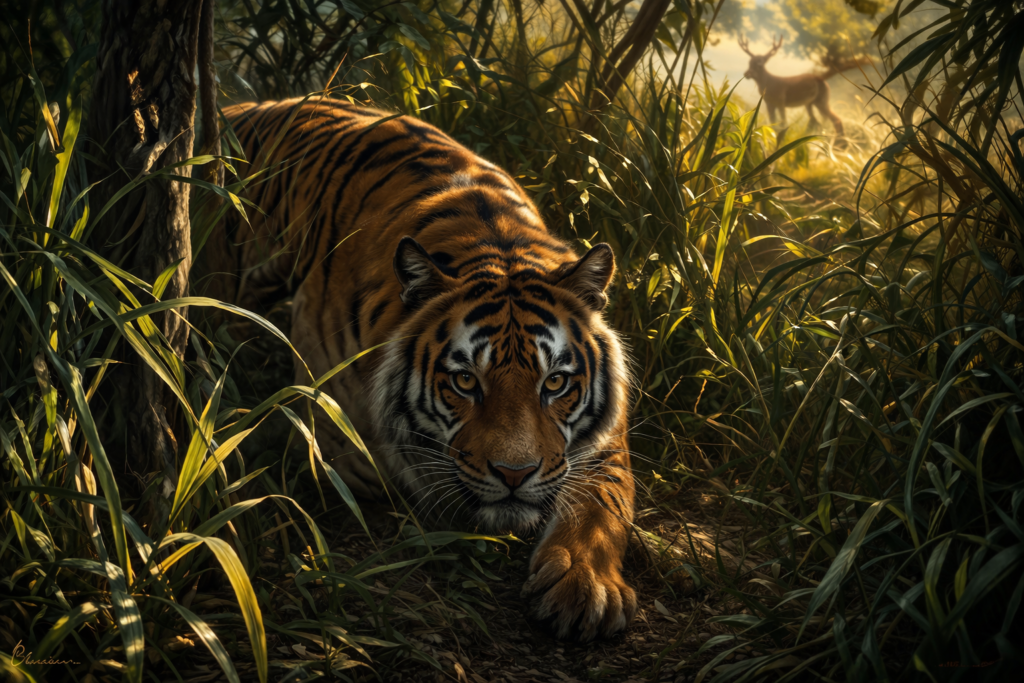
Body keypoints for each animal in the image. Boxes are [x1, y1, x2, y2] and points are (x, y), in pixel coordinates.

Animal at [200, 97, 637, 640]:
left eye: (554, 382)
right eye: (465, 381)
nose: (514, 475)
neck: (499, 245)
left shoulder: (603, 444)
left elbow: (604, 503)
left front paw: (585, 586)